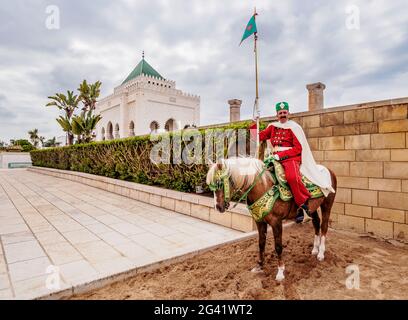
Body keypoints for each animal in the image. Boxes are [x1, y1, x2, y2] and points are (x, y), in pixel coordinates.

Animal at [207, 157, 338, 280]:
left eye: (219, 183)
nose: (218, 207)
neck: (263, 186)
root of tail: (329, 170)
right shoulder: (260, 221)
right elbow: (261, 243)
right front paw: (259, 266)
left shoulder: (276, 222)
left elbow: (278, 247)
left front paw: (280, 272)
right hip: (312, 208)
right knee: (316, 223)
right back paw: (315, 249)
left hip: (327, 204)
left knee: (324, 225)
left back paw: (321, 253)